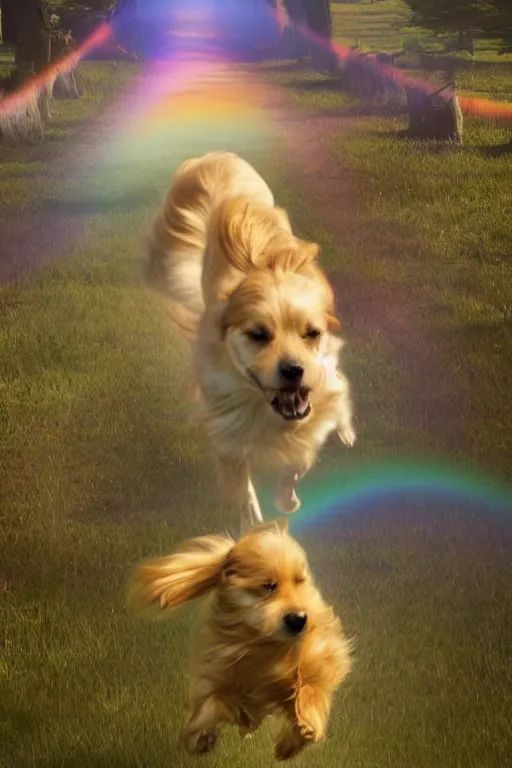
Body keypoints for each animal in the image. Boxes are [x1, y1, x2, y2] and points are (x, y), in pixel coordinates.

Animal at [127, 520, 352, 760]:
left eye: (299, 582)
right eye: (268, 586)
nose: (299, 619)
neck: (263, 646)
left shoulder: (317, 654)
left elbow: (311, 685)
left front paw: (300, 732)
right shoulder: (218, 673)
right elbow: (212, 704)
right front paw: (200, 737)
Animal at [146, 152, 356, 532]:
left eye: (312, 333)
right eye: (258, 335)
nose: (294, 370)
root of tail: (218, 159)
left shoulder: (317, 384)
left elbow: (301, 451)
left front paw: (287, 498)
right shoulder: (226, 424)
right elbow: (243, 488)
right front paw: (255, 524)